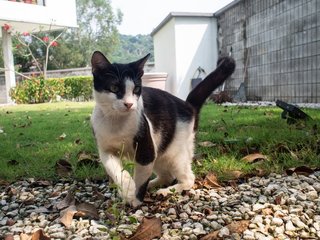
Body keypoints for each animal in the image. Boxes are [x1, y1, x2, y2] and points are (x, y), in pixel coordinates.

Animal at [90, 51, 235, 206]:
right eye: (114, 88)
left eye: (136, 89)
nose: (129, 104)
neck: (116, 122)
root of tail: (188, 105)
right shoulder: (106, 151)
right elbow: (116, 170)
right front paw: (127, 190)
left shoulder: (146, 152)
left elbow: (141, 180)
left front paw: (136, 199)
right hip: (160, 150)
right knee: (167, 176)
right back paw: (153, 185)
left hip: (175, 152)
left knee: (188, 178)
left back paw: (166, 191)